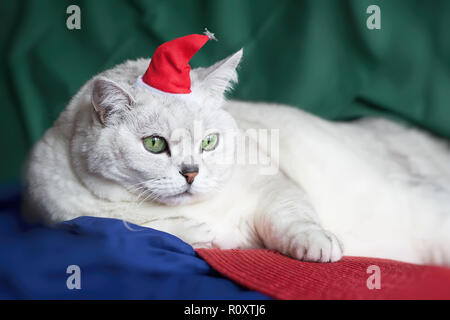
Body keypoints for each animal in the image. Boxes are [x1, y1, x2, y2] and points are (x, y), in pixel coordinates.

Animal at [24, 49, 450, 264]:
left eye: (209, 142)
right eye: (155, 145)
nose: (191, 173)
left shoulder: (273, 186)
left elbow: (293, 219)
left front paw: (317, 244)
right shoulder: (57, 214)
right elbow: (128, 226)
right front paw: (200, 235)